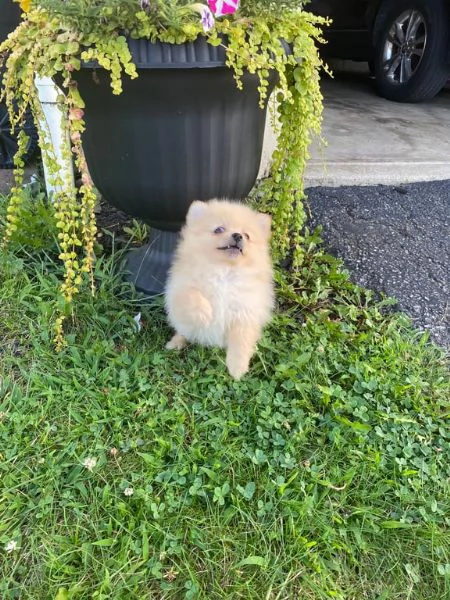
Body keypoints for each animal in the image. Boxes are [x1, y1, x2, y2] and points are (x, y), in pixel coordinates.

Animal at [165, 200, 274, 380]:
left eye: (247, 235)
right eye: (219, 229)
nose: (238, 235)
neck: (225, 272)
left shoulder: (246, 311)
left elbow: (241, 341)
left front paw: (237, 368)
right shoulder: (180, 286)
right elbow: (191, 295)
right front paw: (204, 313)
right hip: (185, 325)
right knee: (184, 332)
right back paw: (175, 343)